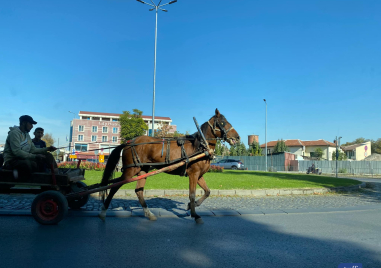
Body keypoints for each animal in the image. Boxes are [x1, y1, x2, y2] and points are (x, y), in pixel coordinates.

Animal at [99, 109, 239, 224]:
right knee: (114, 187)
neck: (200, 146)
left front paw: (191, 206)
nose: (237, 137)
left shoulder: (199, 176)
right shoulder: (193, 174)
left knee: (139, 191)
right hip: (130, 170)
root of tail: (129, 142)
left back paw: (149, 213)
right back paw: (103, 211)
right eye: (223, 123)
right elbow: (192, 194)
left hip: (142, 170)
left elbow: (207, 191)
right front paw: (195, 214)